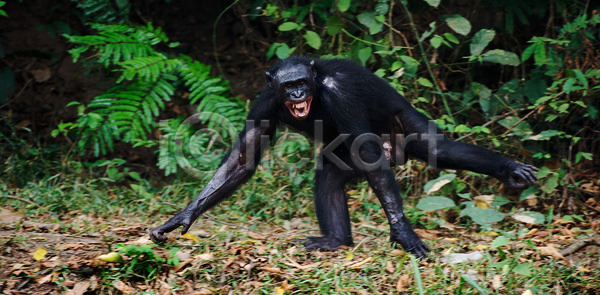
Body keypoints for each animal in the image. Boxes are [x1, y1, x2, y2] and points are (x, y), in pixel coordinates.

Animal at [151, 56, 540, 258]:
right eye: (287, 85)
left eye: (302, 83)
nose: (296, 93)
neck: (318, 86)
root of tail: (395, 151)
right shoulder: (264, 102)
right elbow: (244, 158)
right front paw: (183, 217)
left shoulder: (342, 94)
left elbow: (368, 154)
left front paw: (402, 233)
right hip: (342, 158)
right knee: (329, 179)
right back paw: (336, 240)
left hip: (406, 127)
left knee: (438, 150)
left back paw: (510, 169)